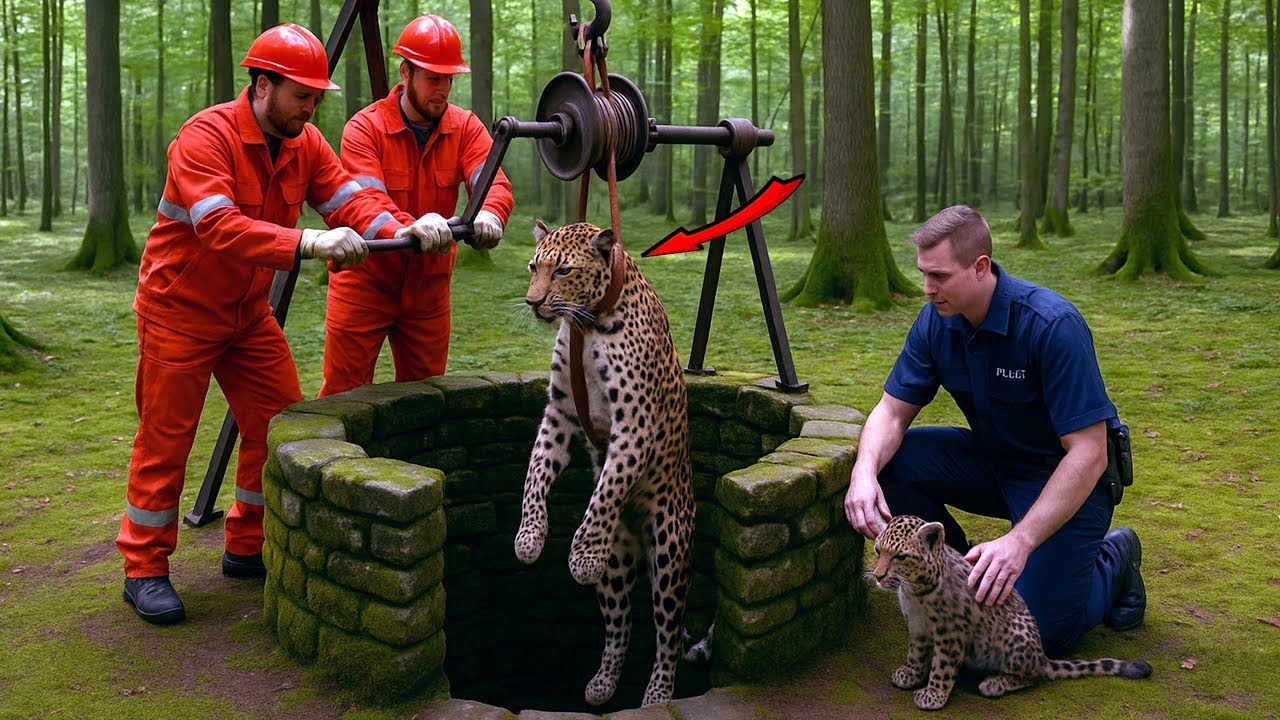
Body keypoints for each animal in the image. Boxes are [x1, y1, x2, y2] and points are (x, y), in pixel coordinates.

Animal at [514, 220, 696, 708]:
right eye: (534, 267)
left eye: (564, 271)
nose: (533, 303)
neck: (587, 324)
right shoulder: (559, 412)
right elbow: (535, 474)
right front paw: (529, 537)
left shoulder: (634, 423)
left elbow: (607, 489)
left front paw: (582, 553)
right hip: (617, 568)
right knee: (620, 627)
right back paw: (603, 683)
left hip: (669, 552)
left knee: (667, 633)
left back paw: (658, 694)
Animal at [870, 515, 1153, 711]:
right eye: (877, 550)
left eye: (900, 556)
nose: (877, 576)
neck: (916, 592)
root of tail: (1041, 656)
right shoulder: (918, 626)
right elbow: (916, 654)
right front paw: (910, 674)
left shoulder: (951, 633)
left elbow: (942, 667)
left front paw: (934, 694)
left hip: (1011, 639)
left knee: (1034, 675)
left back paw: (994, 683)